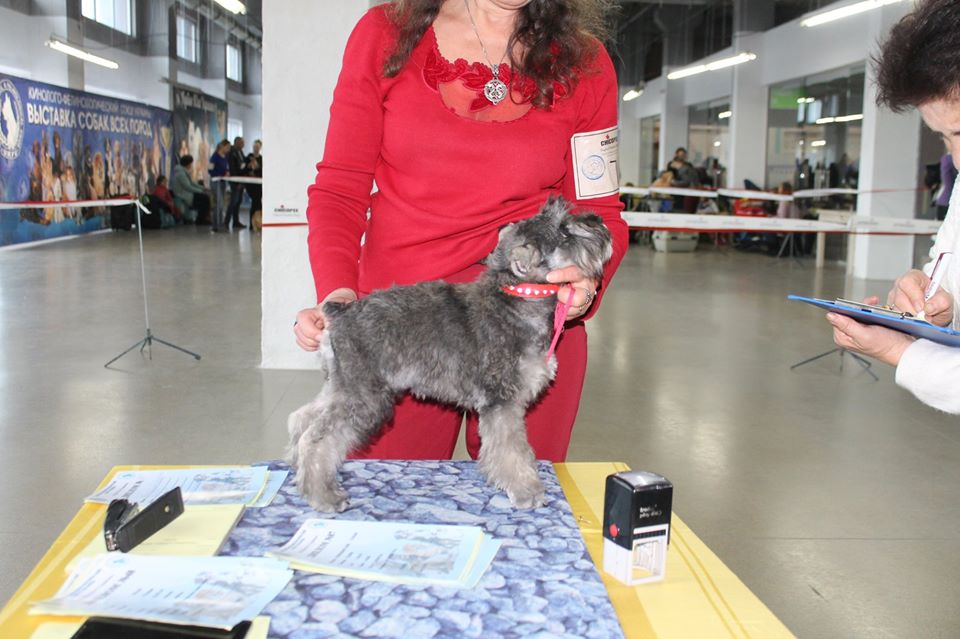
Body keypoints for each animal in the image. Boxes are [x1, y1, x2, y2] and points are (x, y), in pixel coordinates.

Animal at [287, 196, 613, 512]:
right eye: (564, 232)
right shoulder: (502, 402)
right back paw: (323, 495)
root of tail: (341, 312)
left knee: (302, 418)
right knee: (317, 438)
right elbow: (513, 450)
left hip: (341, 386)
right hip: (364, 397)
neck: (517, 299)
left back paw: (297, 470)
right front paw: (526, 491)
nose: (599, 221)